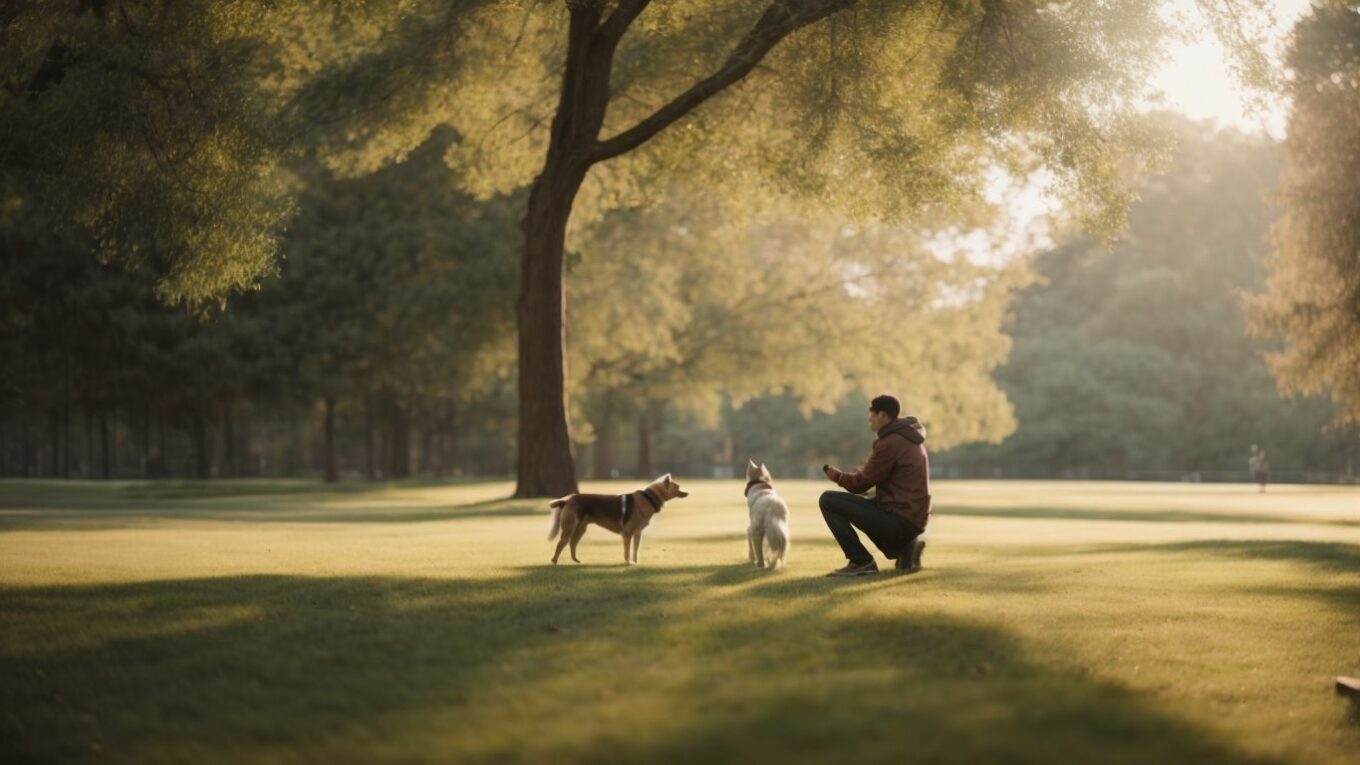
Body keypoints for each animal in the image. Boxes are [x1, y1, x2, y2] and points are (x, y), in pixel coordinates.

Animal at [544, 473, 685, 563]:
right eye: (678, 487)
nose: (687, 493)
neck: (649, 498)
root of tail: (566, 500)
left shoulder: (638, 533)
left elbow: (635, 551)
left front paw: (635, 564)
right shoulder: (627, 533)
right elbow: (627, 551)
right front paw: (628, 563)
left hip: (580, 529)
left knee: (572, 544)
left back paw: (576, 561)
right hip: (569, 527)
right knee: (561, 544)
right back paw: (554, 562)